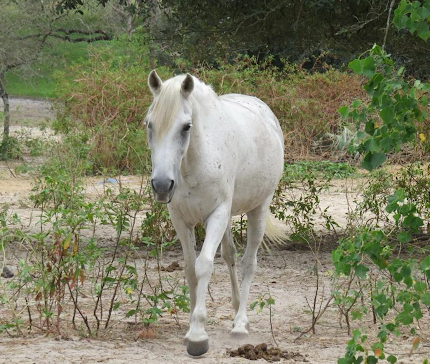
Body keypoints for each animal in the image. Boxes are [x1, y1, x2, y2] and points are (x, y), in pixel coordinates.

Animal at [147, 70, 286, 356]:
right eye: (149, 125)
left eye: (186, 127)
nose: (162, 185)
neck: (195, 163)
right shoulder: (181, 220)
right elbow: (190, 269)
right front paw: (190, 327)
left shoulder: (217, 215)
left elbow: (204, 265)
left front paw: (198, 335)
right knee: (230, 255)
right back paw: (235, 310)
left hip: (258, 210)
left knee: (248, 262)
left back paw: (240, 324)